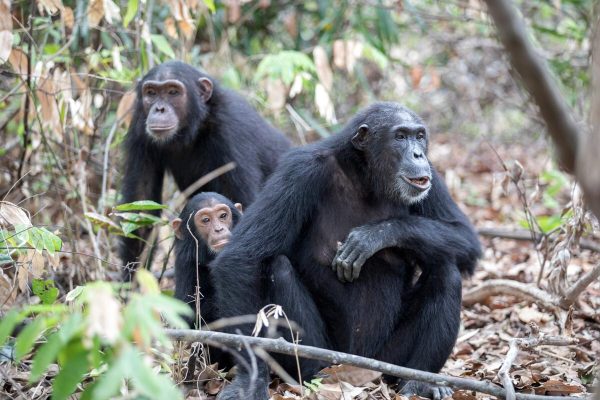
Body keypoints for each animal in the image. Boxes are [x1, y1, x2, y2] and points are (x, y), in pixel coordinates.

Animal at [118, 61, 292, 282]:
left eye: (173, 92)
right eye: (151, 93)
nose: (159, 108)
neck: (195, 126)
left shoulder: (231, 132)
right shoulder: (139, 128)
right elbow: (142, 205)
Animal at [211, 102, 482, 400]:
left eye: (419, 136)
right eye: (400, 137)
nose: (417, 153)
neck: (365, 177)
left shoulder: (430, 176)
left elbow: (465, 237)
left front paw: (374, 235)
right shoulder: (300, 170)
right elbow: (242, 256)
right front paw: (249, 380)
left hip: (387, 359)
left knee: (446, 270)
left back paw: (419, 381)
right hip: (331, 355)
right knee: (277, 266)